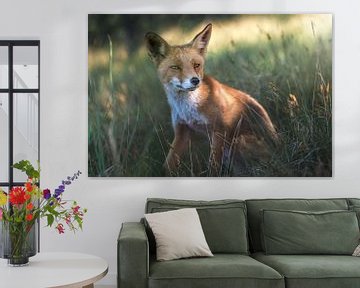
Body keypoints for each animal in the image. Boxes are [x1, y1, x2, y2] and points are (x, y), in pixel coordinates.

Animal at [145, 23, 278, 176]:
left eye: (196, 65)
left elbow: (213, 166)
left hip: (238, 141)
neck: (188, 109)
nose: (195, 80)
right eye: (175, 67)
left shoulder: (219, 130)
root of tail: (280, 148)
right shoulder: (182, 131)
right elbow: (168, 164)